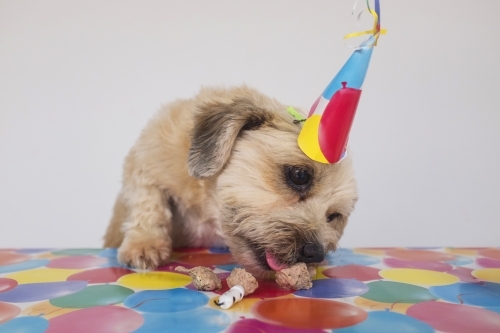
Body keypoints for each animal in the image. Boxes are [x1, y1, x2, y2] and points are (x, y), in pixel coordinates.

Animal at [103, 85, 358, 274]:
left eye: (333, 216)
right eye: (299, 175)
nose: (316, 253)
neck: (209, 211)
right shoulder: (145, 158)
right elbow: (148, 201)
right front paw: (144, 244)